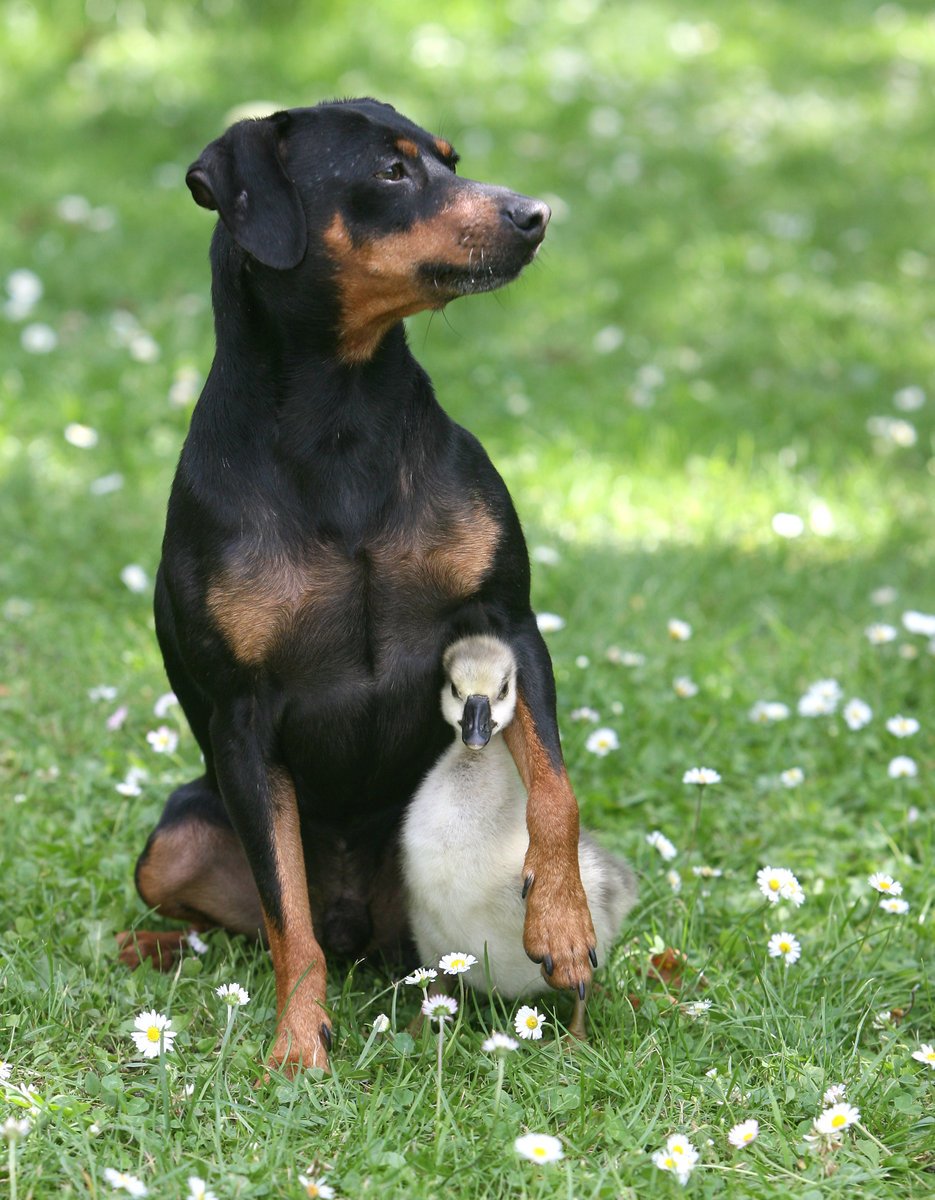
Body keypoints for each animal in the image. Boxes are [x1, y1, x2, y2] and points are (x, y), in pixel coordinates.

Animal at [120, 100, 595, 1070]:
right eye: (389, 171)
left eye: (451, 158)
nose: (534, 215)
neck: (339, 416)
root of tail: (361, 928)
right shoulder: (242, 715)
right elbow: (282, 912)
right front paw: (298, 1047)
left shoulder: (508, 621)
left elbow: (556, 794)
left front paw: (563, 924)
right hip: (178, 832)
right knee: (253, 921)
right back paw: (152, 947)